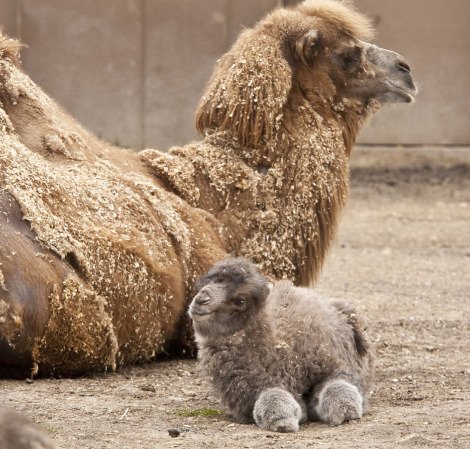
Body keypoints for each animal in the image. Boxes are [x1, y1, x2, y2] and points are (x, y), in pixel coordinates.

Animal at [189, 258, 372, 432]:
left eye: (240, 301)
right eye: (206, 283)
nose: (200, 299)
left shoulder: (332, 364)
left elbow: (337, 385)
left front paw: (345, 411)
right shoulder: (251, 392)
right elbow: (271, 396)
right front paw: (284, 420)